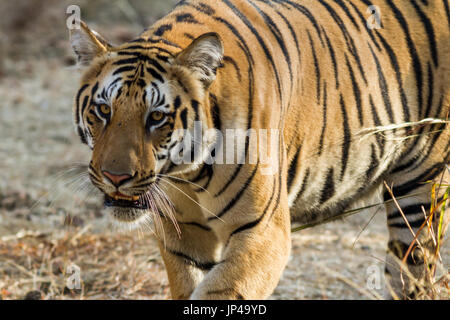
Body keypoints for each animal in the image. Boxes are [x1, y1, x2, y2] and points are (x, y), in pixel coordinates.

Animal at [68, 0, 448, 300]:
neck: (189, 175)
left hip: (420, 188)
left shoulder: (264, 233)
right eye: (103, 110)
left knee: (412, 269)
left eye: (157, 117)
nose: (115, 177)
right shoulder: (183, 238)